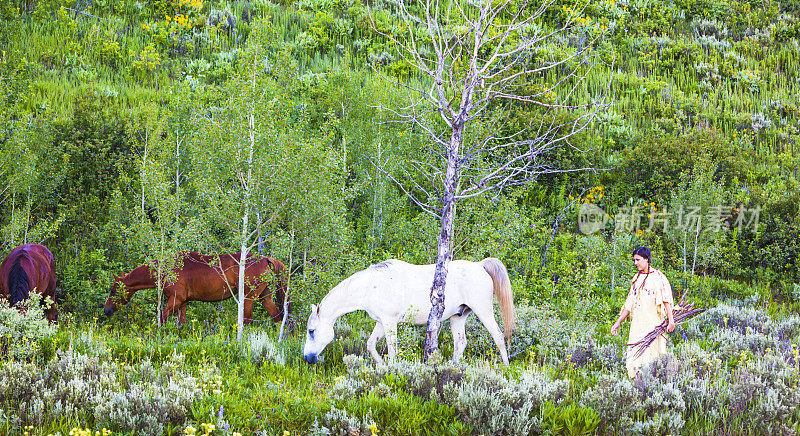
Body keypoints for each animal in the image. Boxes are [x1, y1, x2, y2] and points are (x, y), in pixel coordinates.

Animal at [103, 252, 290, 328]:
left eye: (113, 291)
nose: (106, 310)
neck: (168, 270)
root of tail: (266, 259)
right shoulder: (183, 302)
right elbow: (181, 325)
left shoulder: (175, 300)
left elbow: (161, 319)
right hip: (264, 296)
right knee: (278, 317)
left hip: (249, 298)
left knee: (248, 321)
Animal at [302, 258, 520, 364]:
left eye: (311, 331)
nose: (307, 358)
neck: (369, 286)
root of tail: (480, 266)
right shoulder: (381, 321)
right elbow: (371, 345)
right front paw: (382, 366)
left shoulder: (390, 322)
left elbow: (392, 350)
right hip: (458, 316)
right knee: (461, 343)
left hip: (484, 311)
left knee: (499, 337)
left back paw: (506, 369)